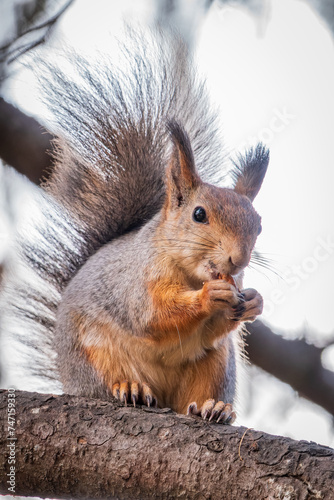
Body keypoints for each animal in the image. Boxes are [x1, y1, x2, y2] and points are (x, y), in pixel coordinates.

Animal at [10, 29, 268, 424]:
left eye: (259, 225)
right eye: (199, 214)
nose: (238, 260)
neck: (191, 273)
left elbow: (216, 327)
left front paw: (254, 301)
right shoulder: (136, 283)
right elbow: (153, 315)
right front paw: (209, 296)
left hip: (216, 364)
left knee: (198, 393)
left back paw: (213, 407)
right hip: (95, 355)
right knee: (110, 376)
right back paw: (128, 387)